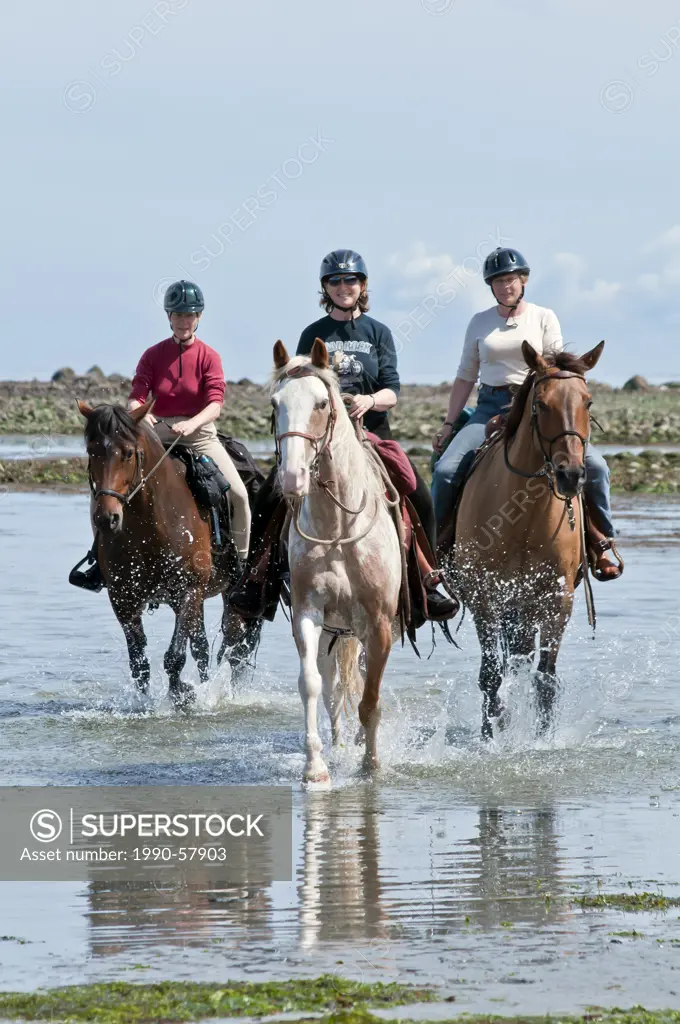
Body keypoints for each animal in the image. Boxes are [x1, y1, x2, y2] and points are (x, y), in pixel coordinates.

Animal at [77, 397, 260, 704]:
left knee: (235, 646)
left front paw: (182, 696)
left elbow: (174, 657)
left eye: (128, 453)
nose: (106, 518)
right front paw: (148, 703)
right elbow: (139, 663)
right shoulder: (123, 599)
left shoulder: (187, 591)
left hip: (230, 591)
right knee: (202, 647)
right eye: (92, 451)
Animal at [270, 337, 403, 782]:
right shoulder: (308, 613)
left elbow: (371, 699)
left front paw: (371, 766)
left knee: (360, 683)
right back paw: (341, 745)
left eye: (320, 403)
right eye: (275, 404)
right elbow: (312, 686)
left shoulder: (379, 624)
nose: (292, 478)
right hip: (335, 630)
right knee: (334, 692)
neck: (338, 529)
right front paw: (315, 767)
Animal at [454, 342, 602, 737]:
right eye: (541, 404)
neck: (523, 517)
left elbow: (545, 677)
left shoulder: (557, 598)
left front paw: (542, 738)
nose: (571, 475)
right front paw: (491, 734)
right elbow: (491, 674)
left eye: (588, 402)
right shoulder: (485, 596)